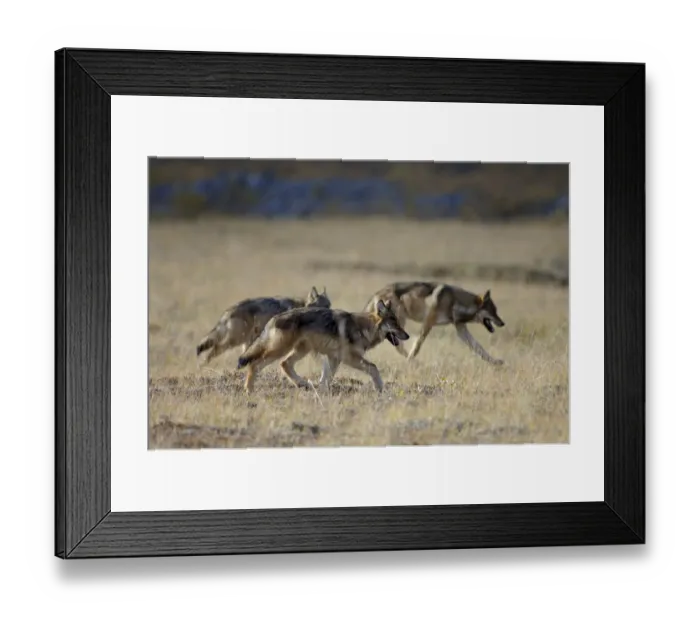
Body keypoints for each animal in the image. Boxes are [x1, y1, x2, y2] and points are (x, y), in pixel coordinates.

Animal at [195, 286, 331, 365]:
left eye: (329, 305)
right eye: (324, 306)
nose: (329, 315)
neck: (301, 306)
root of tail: (229, 310)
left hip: (246, 342)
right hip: (233, 341)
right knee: (212, 352)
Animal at [236, 300, 410, 394]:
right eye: (395, 323)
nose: (407, 335)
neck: (364, 328)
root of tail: (273, 318)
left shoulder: (333, 359)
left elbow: (325, 379)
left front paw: (321, 393)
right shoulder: (349, 358)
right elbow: (374, 368)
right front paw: (381, 389)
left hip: (300, 350)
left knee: (284, 364)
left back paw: (303, 384)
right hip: (281, 350)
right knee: (254, 365)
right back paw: (249, 390)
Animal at [363, 281, 506, 365]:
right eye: (493, 312)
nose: (503, 323)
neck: (455, 301)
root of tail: (376, 293)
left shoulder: (460, 329)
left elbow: (479, 347)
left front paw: (495, 362)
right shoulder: (428, 323)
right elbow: (417, 345)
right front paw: (411, 359)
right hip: (399, 322)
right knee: (399, 346)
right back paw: (414, 361)